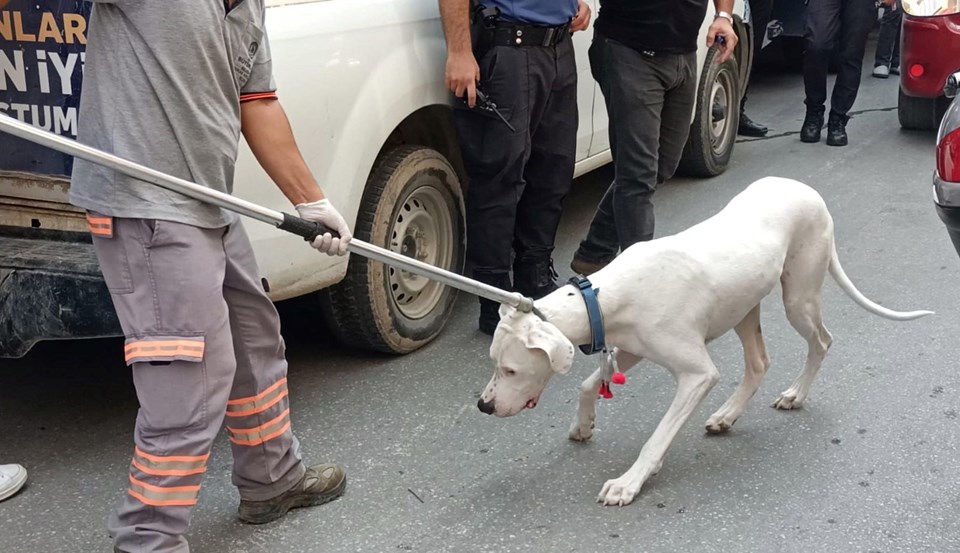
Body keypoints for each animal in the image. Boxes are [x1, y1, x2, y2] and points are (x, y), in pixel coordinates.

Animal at [478, 177, 928, 504]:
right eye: (494, 364)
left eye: (511, 369)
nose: (483, 406)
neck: (605, 296)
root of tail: (807, 189)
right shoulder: (631, 349)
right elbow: (589, 385)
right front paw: (583, 425)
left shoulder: (697, 375)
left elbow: (658, 435)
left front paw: (630, 481)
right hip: (744, 308)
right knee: (759, 363)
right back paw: (728, 415)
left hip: (798, 298)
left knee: (822, 341)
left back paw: (796, 394)